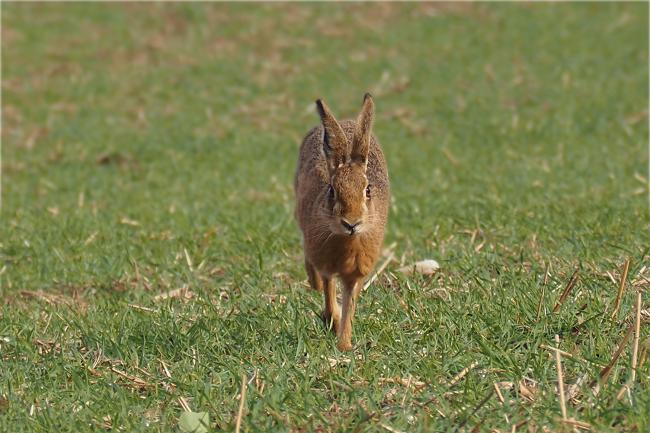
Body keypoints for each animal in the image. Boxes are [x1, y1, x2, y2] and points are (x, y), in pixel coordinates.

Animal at [294, 93, 389, 351]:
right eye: (332, 191)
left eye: (368, 190)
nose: (351, 223)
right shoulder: (325, 262)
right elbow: (329, 290)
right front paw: (332, 321)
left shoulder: (356, 274)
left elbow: (350, 304)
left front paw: (345, 344)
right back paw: (314, 284)